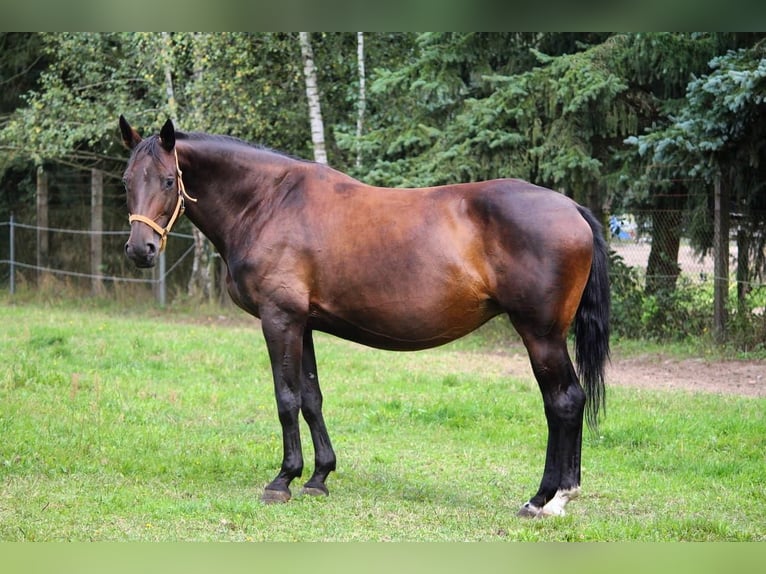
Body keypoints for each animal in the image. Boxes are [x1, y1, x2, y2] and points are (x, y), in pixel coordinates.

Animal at [120, 115, 612, 520]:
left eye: (169, 180)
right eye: (126, 181)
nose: (140, 250)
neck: (269, 201)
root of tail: (572, 208)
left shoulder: (279, 319)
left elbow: (286, 399)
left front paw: (282, 480)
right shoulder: (304, 324)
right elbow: (311, 399)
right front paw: (318, 478)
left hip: (541, 334)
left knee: (564, 401)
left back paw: (545, 499)